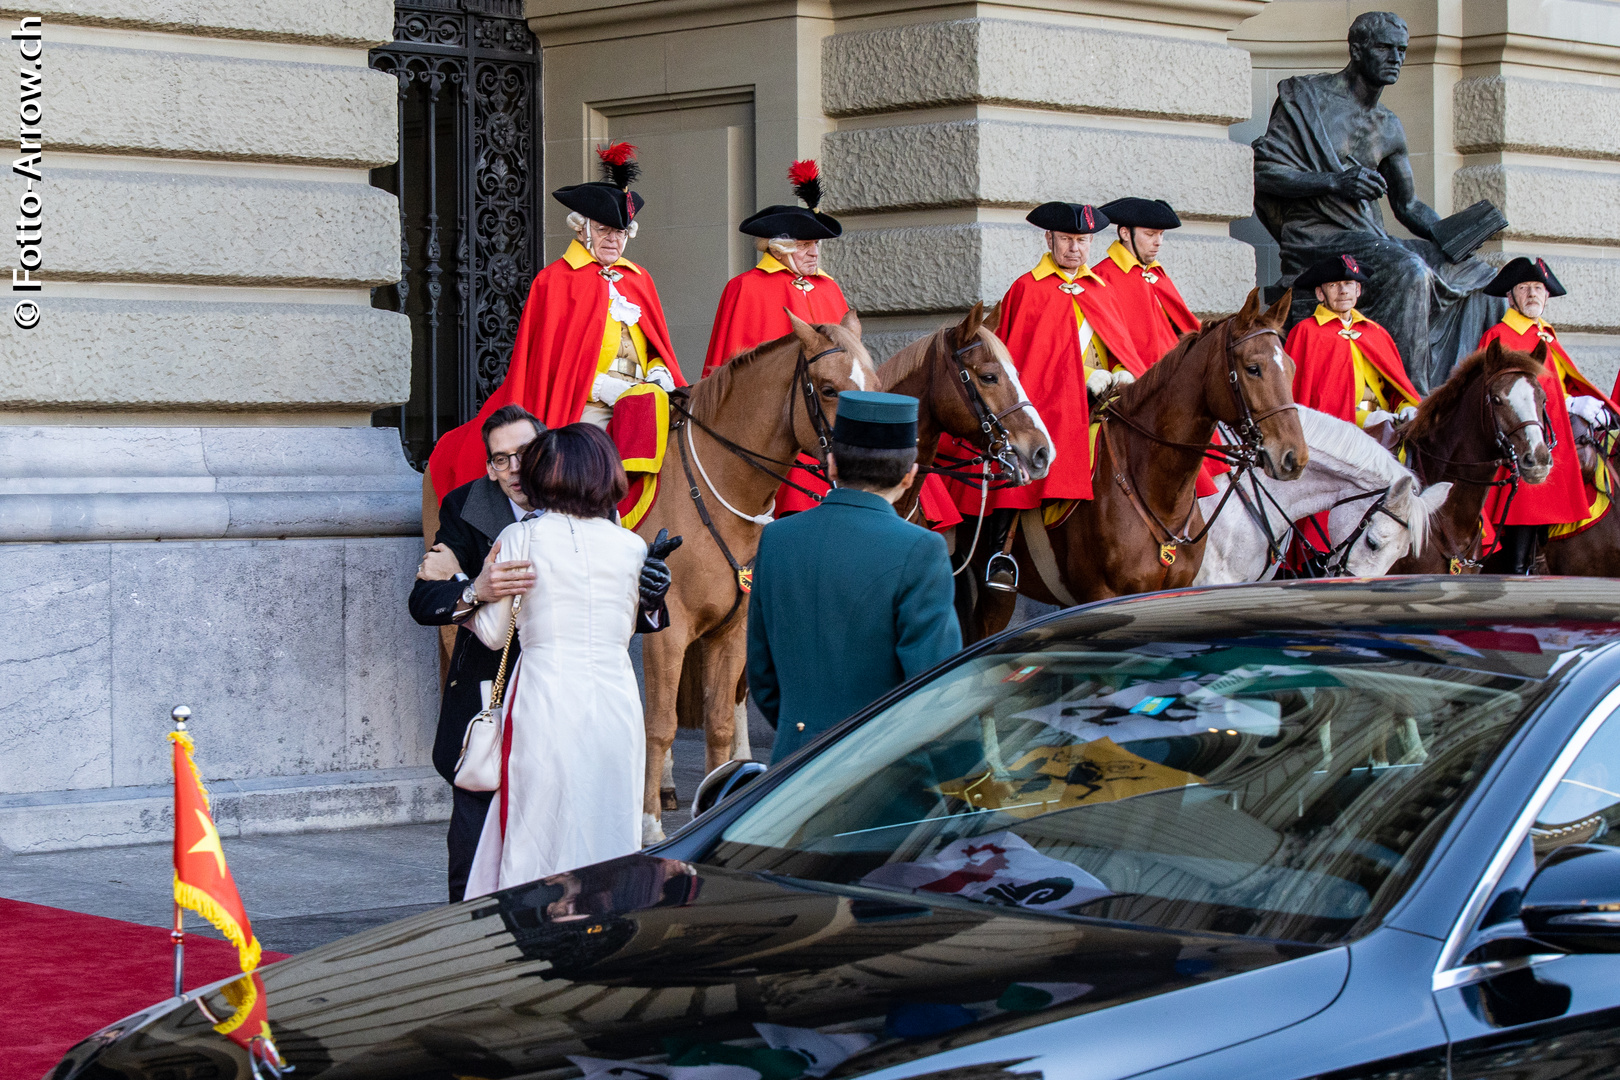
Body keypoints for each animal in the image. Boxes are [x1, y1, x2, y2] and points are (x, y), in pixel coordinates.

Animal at [638, 312, 881, 841]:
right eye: (828, 389)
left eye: (874, 386)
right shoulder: (668, 631)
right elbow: (661, 725)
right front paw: (649, 828)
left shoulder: (729, 631)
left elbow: (719, 723)